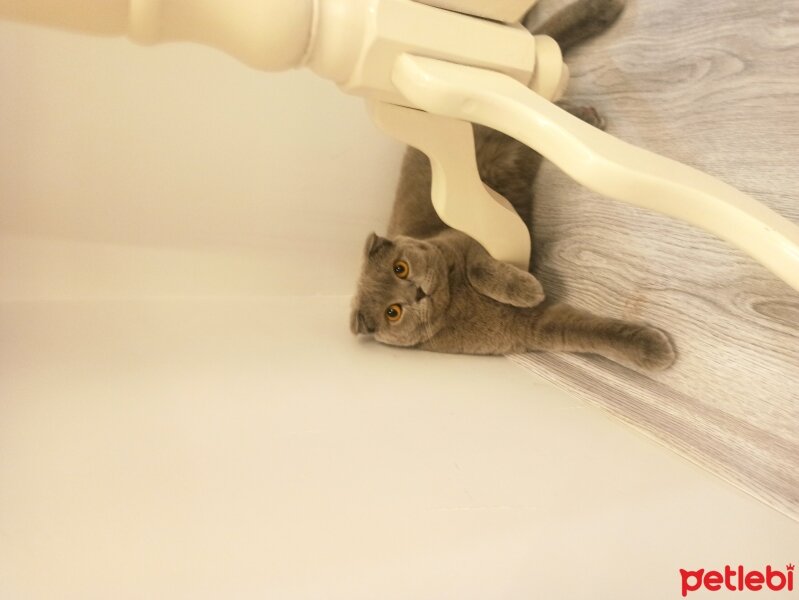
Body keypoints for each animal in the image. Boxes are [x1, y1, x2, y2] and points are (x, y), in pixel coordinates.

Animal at [350, 0, 676, 370]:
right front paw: (650, 348)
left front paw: (527, 289)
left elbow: (480, 267)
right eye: (392, 312)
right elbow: (591, 333)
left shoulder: (473, 239)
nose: (417, 292)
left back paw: (599, 13)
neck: (454, 302)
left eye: (400, 268)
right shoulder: (534, 328)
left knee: (538, 48)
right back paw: (586, 111)